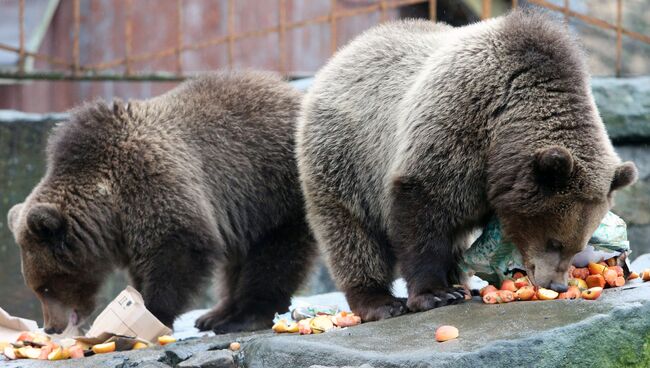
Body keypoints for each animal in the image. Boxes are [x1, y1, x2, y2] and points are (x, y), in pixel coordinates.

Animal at [6, 70, 314, 334]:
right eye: (37, 287)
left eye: (45, 286)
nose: (50, 327)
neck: (109, 207)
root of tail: (294, 93)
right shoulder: (128, 228)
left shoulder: (151, 183)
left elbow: (176, 250)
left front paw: (151, 312)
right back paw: (215, 314)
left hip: (273, 188)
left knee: (275, 254)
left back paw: (244, 317)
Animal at [298, 10, 636, 322]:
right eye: (555, 241)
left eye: (576, 246)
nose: (557, 284)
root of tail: (341, 55)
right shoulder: (455, 127)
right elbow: (422, 214)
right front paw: (435, 293)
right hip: (346, 157)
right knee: (351, 233)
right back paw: (379, 301)